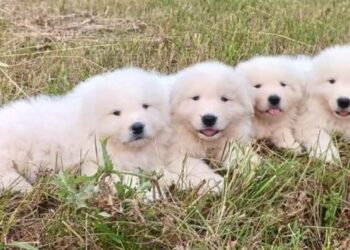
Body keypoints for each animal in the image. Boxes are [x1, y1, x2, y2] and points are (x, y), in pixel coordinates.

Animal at [0, 67, 170, 192]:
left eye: (146, 106)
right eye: (116, 113)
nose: (137, 127)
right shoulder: (96, 165)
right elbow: (121, 178)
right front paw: (146, 194)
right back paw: (22, 187)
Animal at [165, 61, 256, 194]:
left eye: (224, 99)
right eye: (195, 98)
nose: (209, 119)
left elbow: (235, 150)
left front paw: (248, 162)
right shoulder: (174, 154)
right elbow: (195, 166)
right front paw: (213, 182)